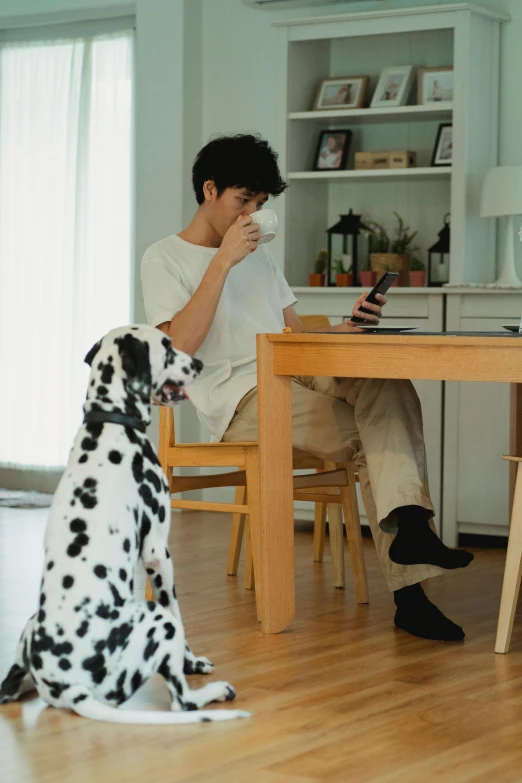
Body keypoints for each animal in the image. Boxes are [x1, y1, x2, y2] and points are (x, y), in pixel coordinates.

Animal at [0, 324, 248, 724]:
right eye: (167, 346)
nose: (198, 363)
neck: (111, 423)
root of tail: (67, 686)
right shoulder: (158, 554)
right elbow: (180, 617)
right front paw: (192, 662)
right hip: (155, 618)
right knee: (182, 701)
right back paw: (215, 691)